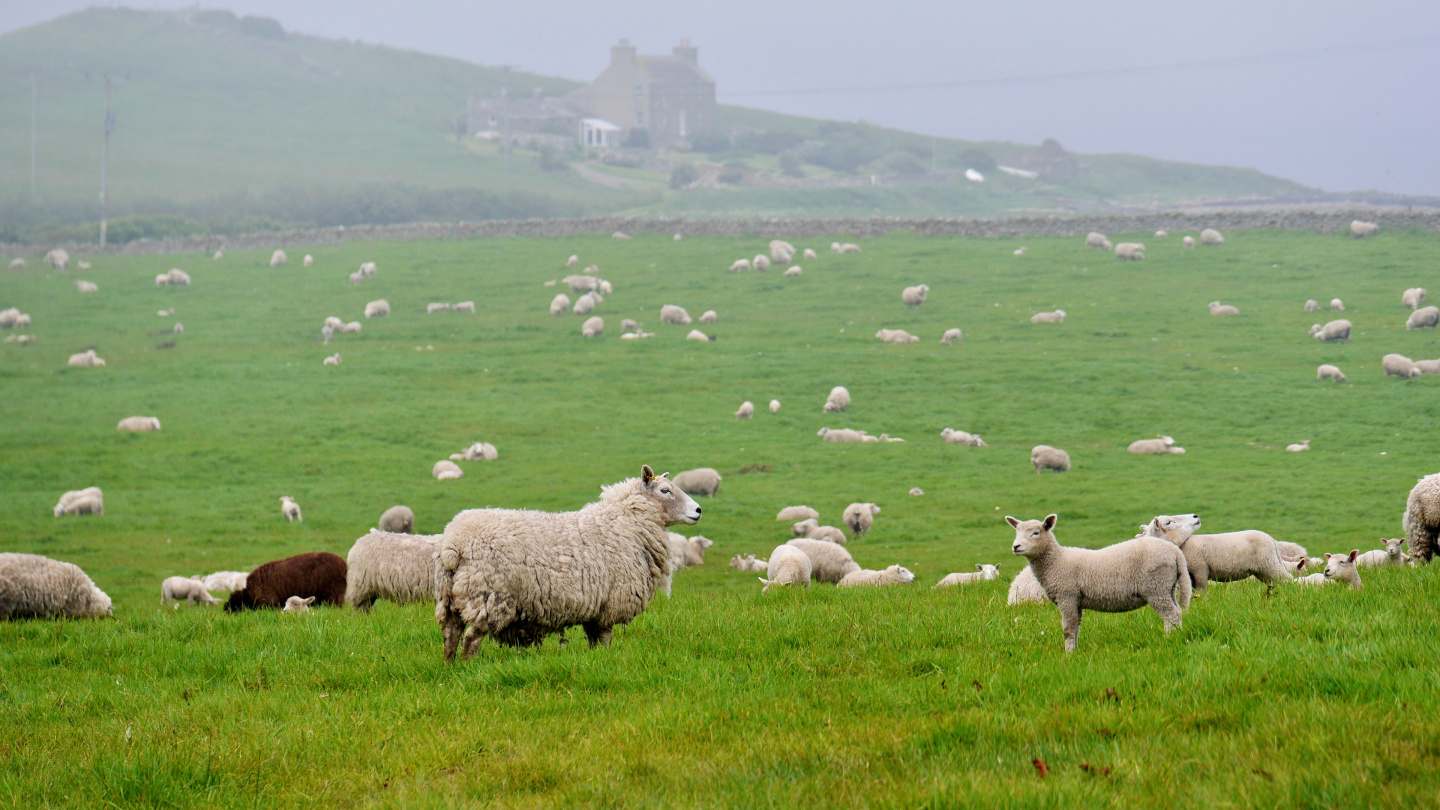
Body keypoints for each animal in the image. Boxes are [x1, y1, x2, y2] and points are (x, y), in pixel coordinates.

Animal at [434, 464, 699, 651]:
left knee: (451, 636)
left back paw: (452, 668)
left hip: (452, 595)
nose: (698, 510)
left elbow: (594, 639)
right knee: (471, 639)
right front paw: (606, 659)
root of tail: (454, 543)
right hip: (490, 594)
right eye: (665, 490)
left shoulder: (596, 606)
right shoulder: (610, 602)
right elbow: (605, 637)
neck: (626, 522)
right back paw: (468, 666)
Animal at [1002, 513, 1192, 651]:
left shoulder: (1067, 597)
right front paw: (1075, 651)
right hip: (1167, 587)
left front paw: (1068, 654)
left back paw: (1170, 639)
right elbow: (1076, 627)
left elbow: (1068, 629)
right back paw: (1177, 635)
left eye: (1036, 533)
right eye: (1016, 532)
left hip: (1155, 587)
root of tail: (1175, 551)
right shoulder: (1076, 601)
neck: (1055, 561)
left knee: (1171, 614)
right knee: (1176, 612)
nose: (1016, 547)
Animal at [1146, 510, 1296, 593]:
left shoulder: (1200, 569)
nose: (1195, 516)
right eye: (1168, 523)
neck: (1183, 546)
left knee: (1288, 579)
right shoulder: (1191, 574)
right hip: (1263, 571)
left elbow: (1201, 589)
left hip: (1269, 564)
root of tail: (1272, 540)